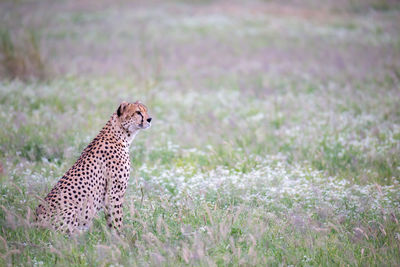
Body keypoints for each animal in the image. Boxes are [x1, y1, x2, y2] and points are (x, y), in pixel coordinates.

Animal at [35, 101, 152, 233]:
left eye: (146, 110)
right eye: (138, 112)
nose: (149, 119)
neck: (120, 135)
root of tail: (34, 224)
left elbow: (111, 220)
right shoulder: (114, 192)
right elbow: (117, 218)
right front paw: (120, 236)